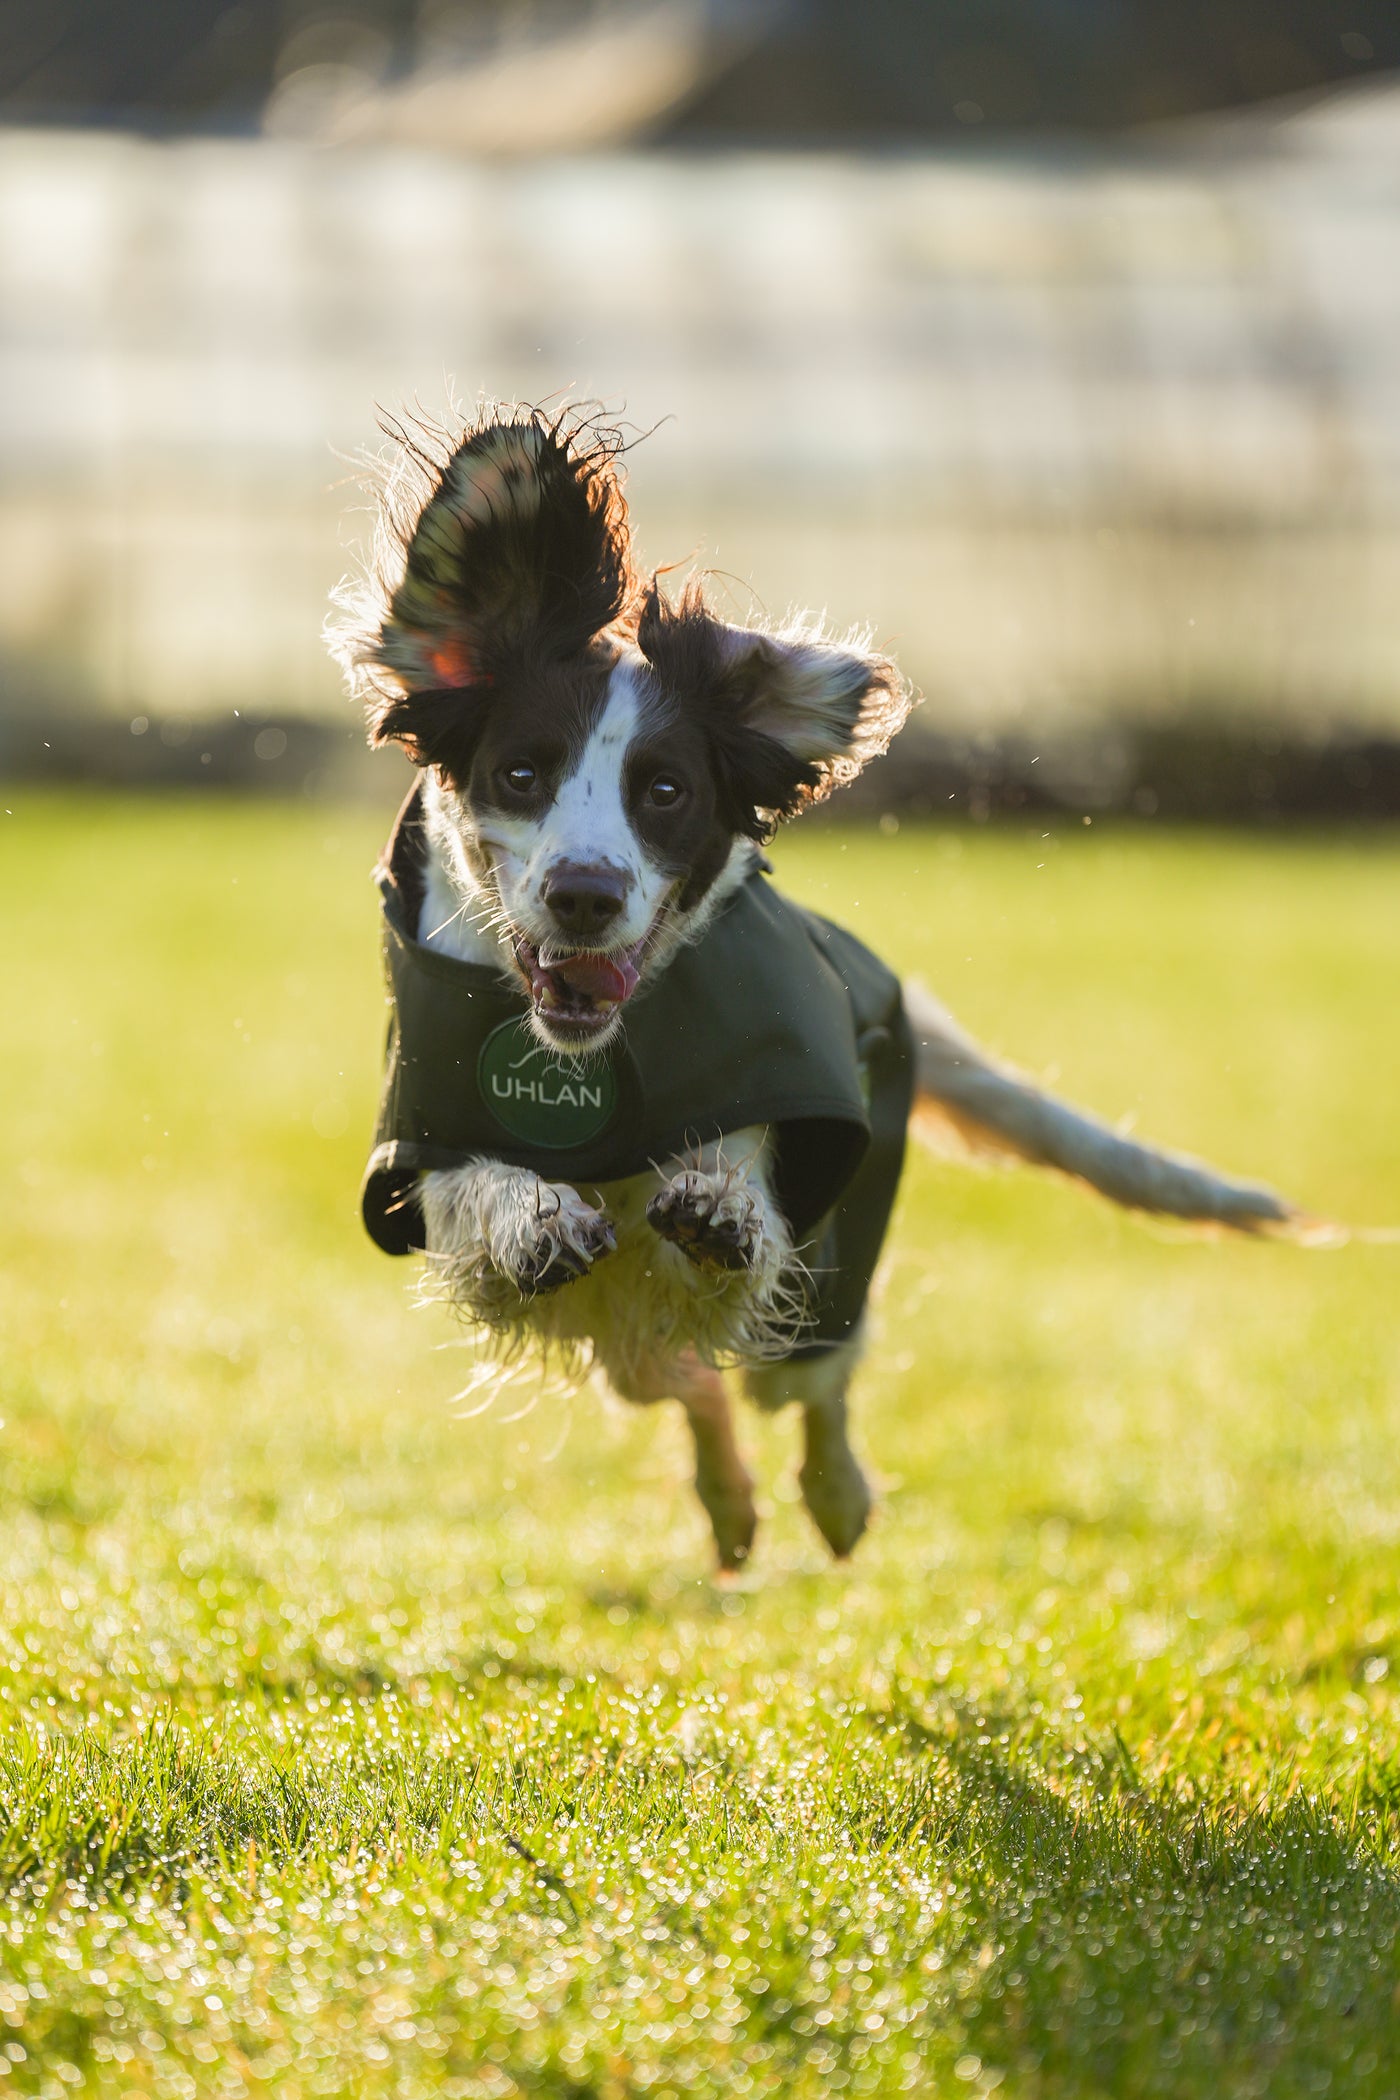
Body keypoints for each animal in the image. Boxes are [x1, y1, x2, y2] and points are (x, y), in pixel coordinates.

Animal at [331, 405, 1318, 1579]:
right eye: (520, 774)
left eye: (665, 791)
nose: (584, 896)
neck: (591, 1052)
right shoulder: (424, 1156)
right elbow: (478, 1186)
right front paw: (534, 1210)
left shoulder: (785, 1159)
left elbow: (744, 1190)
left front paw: (721, 1202)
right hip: (633, 1345)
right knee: (686, 1379)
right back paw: (728, 1504)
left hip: (821, 1287)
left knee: (805, 1382)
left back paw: (836, 1497)